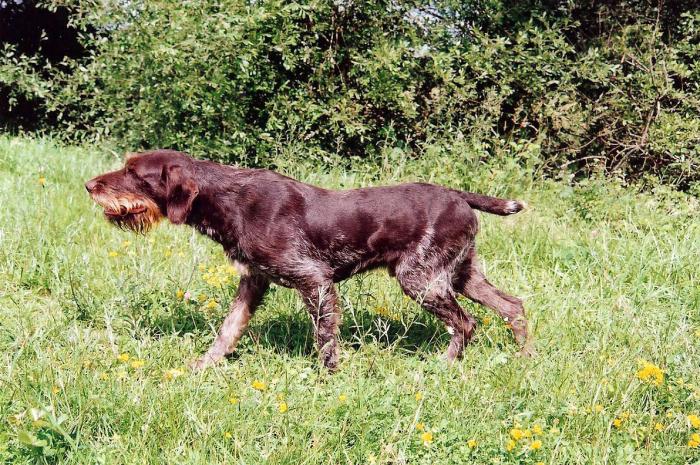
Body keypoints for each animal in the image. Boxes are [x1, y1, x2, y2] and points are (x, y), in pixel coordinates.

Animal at [86, 149, 536, 370]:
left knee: (467, 322)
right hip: (460, 274)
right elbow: (226, 332)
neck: (229, 200)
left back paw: (444, 365)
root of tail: (459, 195)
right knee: (513, 306)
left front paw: (329, 378)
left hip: (421, 279)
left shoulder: (315, 282)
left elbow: (325, 341)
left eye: (134, 173)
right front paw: (202, 368)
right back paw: (524, 358)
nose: (89, 185)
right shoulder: (253, 281)